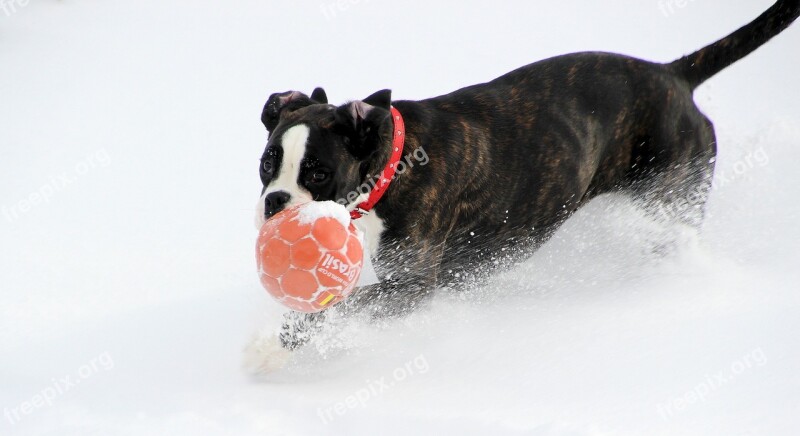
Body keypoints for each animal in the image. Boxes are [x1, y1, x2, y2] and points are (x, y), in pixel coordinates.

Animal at [244, 0, 800, 372]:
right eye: (268, 163)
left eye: (318, 172)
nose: (276, 203)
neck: (393, 161)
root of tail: (673, 76)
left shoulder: (409, 287)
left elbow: (337, 308)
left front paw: (276, 345)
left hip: (673, 194)